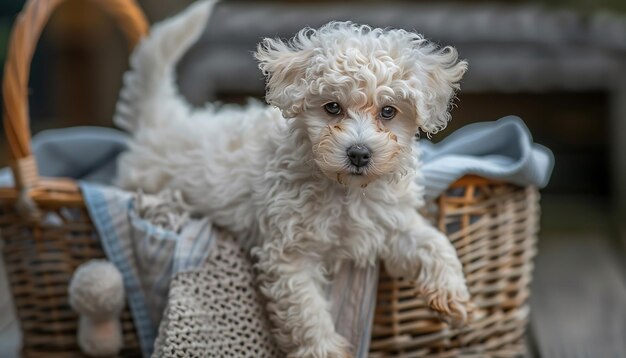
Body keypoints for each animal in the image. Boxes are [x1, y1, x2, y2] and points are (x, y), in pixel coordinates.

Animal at [116, 1, 468, 356]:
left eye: (388, 112)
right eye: (332, 107)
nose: (358, 153)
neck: (345, 191)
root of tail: (162, 122)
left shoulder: (390, 219)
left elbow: (432, 241)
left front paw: (452, 292)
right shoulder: (288, 254)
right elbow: (306, 309)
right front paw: (326, 349)